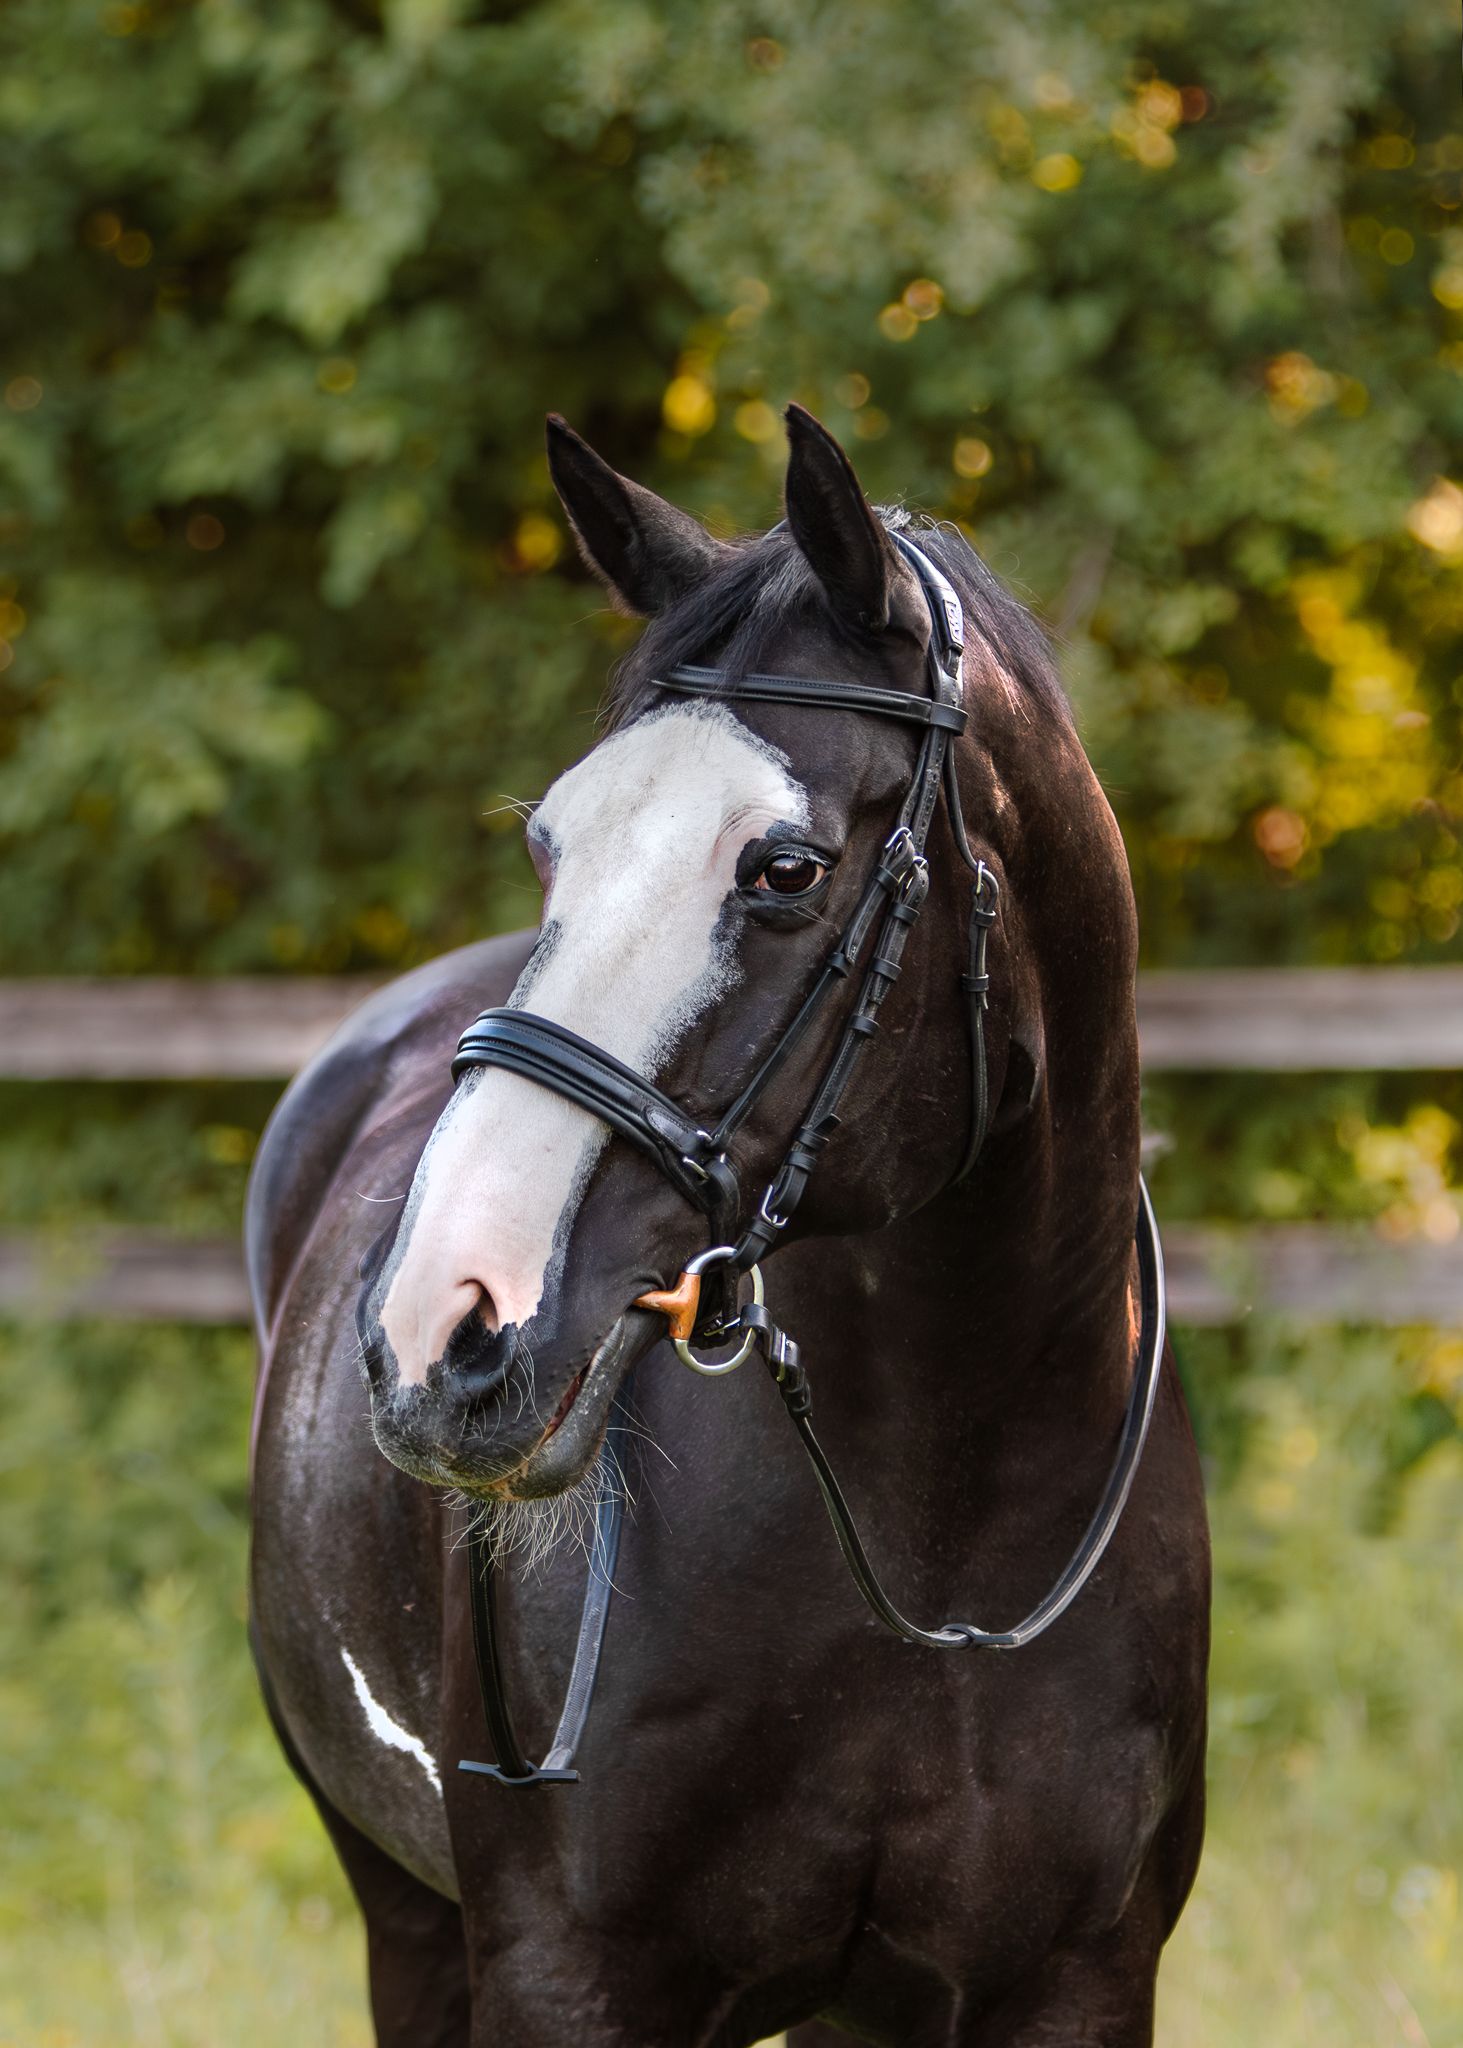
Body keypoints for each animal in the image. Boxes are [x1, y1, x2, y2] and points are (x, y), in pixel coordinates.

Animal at [247, 404, 1210, 2048]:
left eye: (785, 868)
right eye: (551, 845)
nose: (440, 1327)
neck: (941, 1544)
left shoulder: (1076, 1982)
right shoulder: (564, 1977)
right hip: (402, 1915)